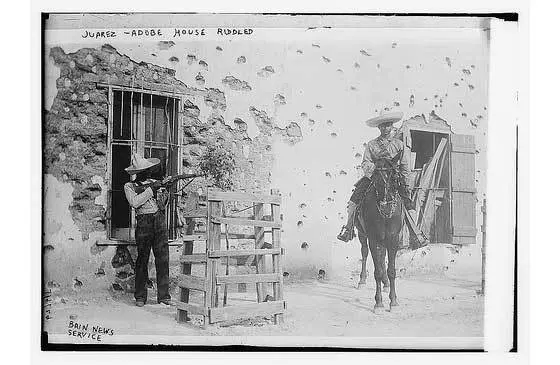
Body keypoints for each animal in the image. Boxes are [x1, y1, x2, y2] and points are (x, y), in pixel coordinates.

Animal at [356, 155, 404, 312]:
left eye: (394, 177)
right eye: (375, 177)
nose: (385, 206)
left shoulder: (393, 239)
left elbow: (391, 270)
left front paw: (393, 301)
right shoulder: (373, 239)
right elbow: (377, 271)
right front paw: (378, 303)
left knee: (382, 258)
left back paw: (386, 283)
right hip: (362, 234)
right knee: (365, 252)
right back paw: (362, 280)